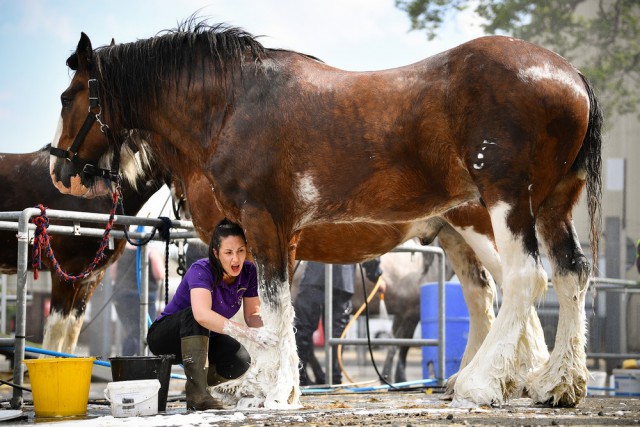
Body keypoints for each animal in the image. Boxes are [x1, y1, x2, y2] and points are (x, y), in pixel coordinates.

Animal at [48, 21, 600, 410]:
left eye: (67, 96)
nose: (59, 169)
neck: (232, 105)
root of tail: (570, 75)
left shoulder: (264, 221)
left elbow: (273, 308)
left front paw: (275, 391)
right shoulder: (267, 235)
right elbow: (266, 311)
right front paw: (263, 384)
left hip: (502, 203)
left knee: (524, 279)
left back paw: (485, 382)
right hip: (542, 207)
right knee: (566, 275)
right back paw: (556, 383)